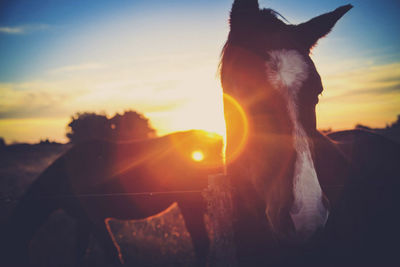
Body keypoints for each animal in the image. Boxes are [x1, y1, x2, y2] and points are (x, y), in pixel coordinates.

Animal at [1, 130, 223, 266]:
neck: (65, 177)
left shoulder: (96, 219)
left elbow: (111, 252)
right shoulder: (84, 220)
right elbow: (79, 251)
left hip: (190, 203)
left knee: (201, 242)